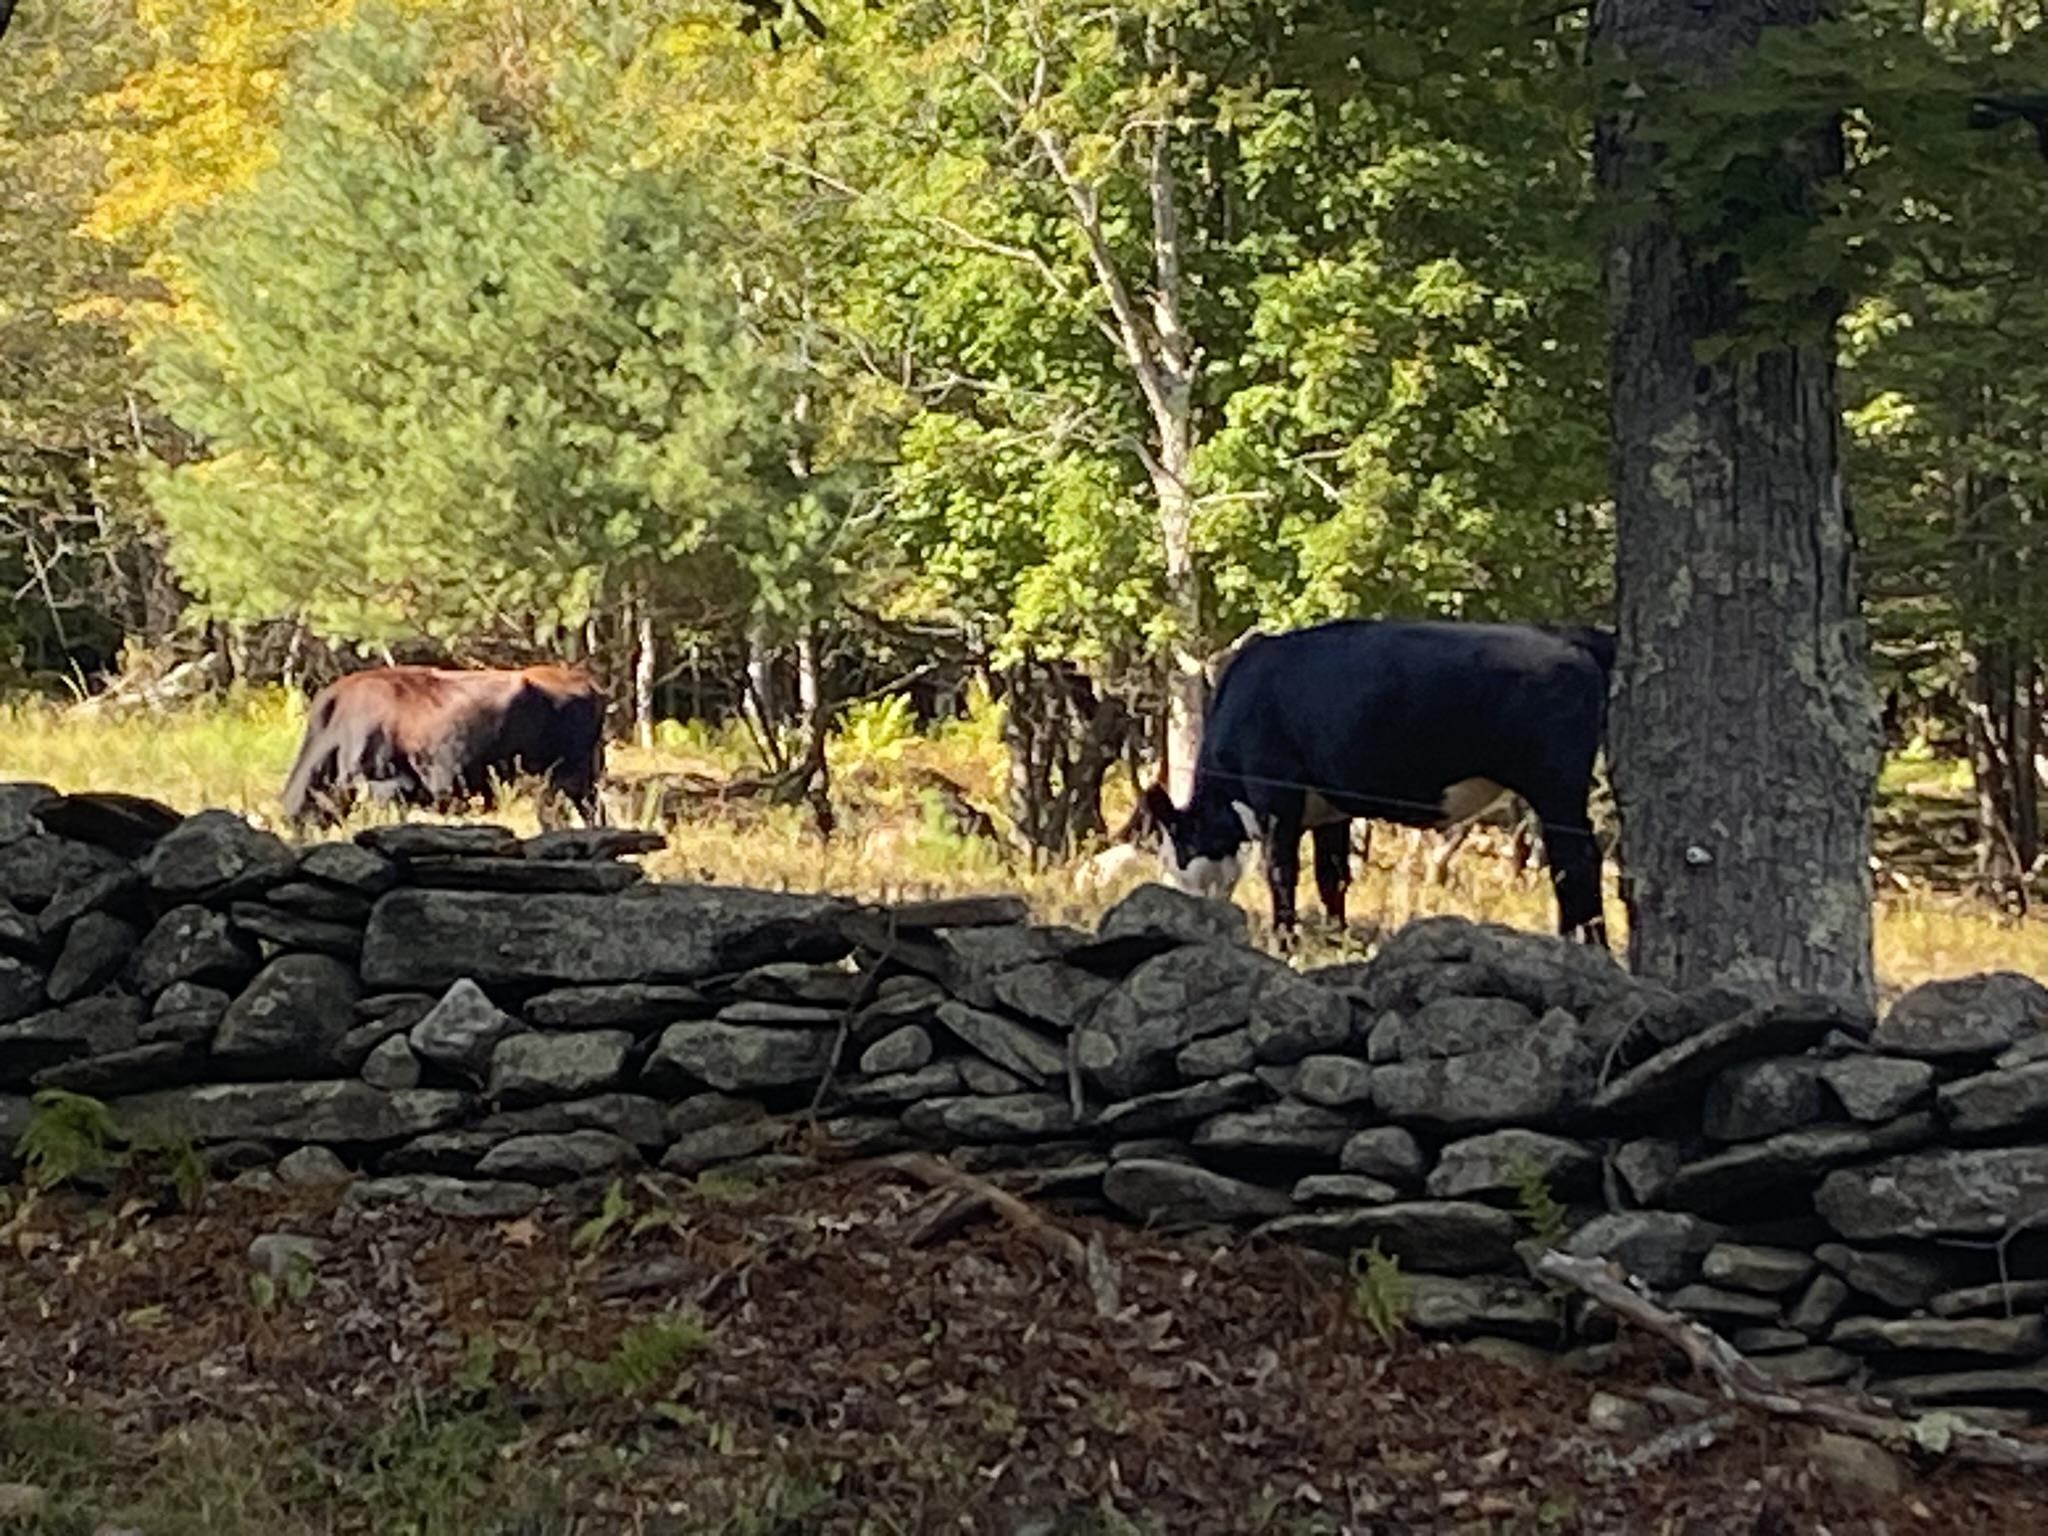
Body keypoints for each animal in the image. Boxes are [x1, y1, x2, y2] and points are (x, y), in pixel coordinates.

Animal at [1141, 618, 1615, 946]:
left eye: (1179, 850)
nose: (1180, 910)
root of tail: (1567, 636)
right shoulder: (1330, 809)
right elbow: (1332, 876)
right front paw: (1336, 940)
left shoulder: (1276, 797)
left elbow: (1281, 872)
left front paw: (1285, 944)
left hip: (1555, 787)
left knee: (1576, 864)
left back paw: (1588, 947)